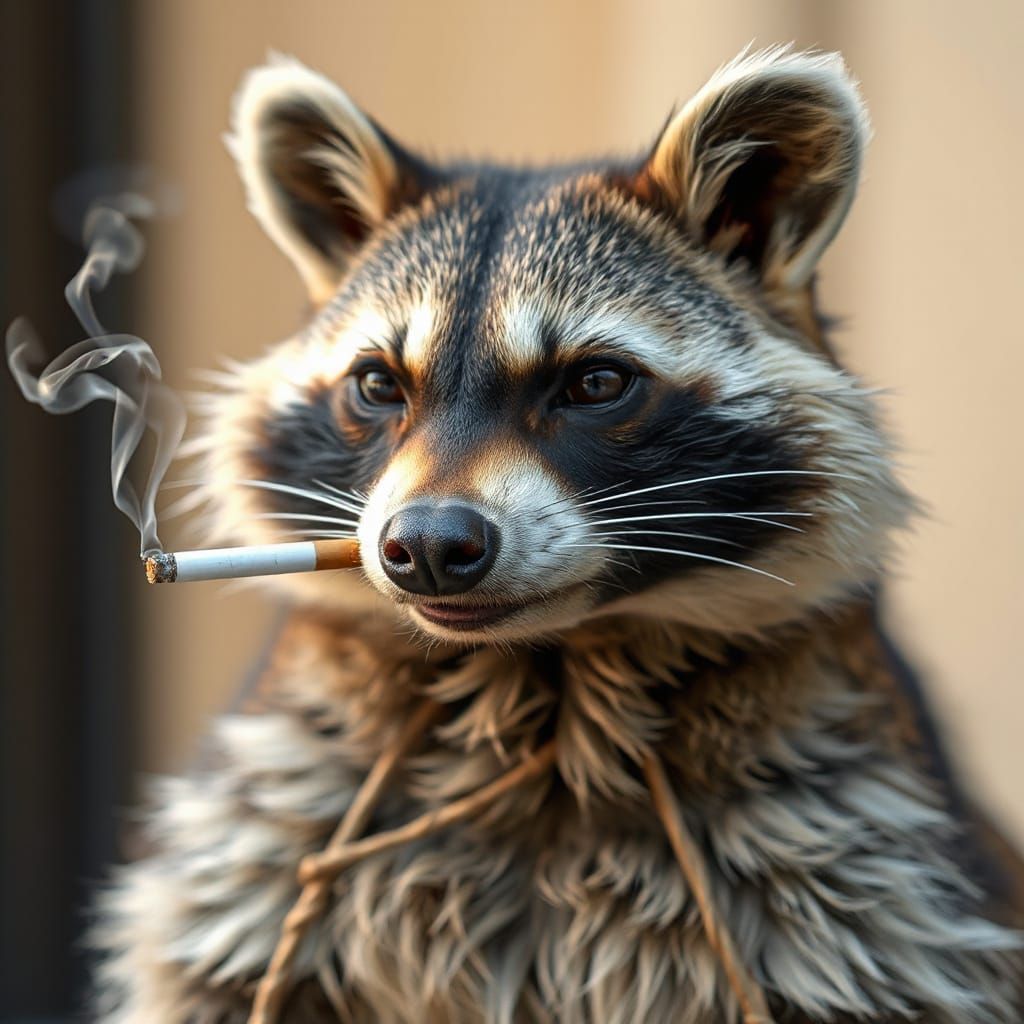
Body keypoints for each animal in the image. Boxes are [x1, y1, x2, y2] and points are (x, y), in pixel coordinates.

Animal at [92, 48, 1024, 1022]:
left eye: (594, 383)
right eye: (380, 386)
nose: (429, 546)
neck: (544, 670)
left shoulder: (871, 878)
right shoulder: (253, 856)